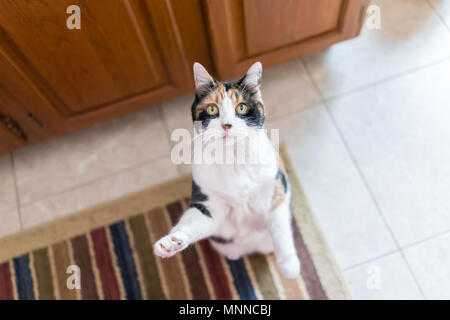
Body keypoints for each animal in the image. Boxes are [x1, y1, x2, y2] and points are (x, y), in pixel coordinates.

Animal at [153, 62, 300, 278]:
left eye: (242, 107)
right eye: (212, 108)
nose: (227, 125)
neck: (233, 159)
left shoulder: (276, 189)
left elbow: (279, 226)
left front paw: (289, 265)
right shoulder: (209, 202)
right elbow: (194, 220)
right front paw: (171, 243)